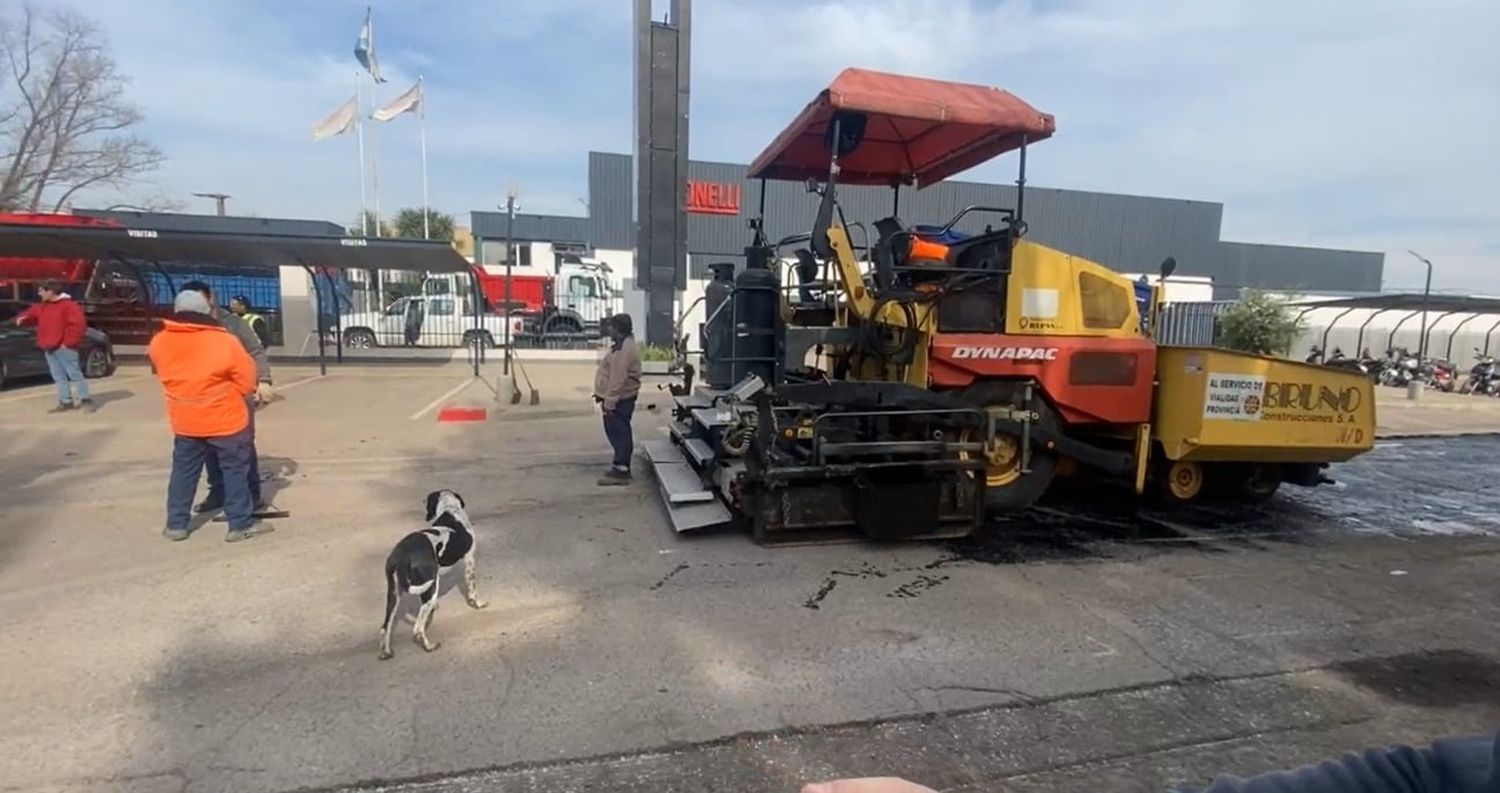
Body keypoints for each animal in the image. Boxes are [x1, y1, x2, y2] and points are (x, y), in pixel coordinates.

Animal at [378, 485, 489, 659]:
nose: (422, 500)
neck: (451, 510)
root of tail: (401, 555)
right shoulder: (470, 560)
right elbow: (473, 590)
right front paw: (477, 604)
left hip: (393, 594)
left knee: (385, 627)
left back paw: (386, 652)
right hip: (428, 585)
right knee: (417, 629)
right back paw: (429, 647)